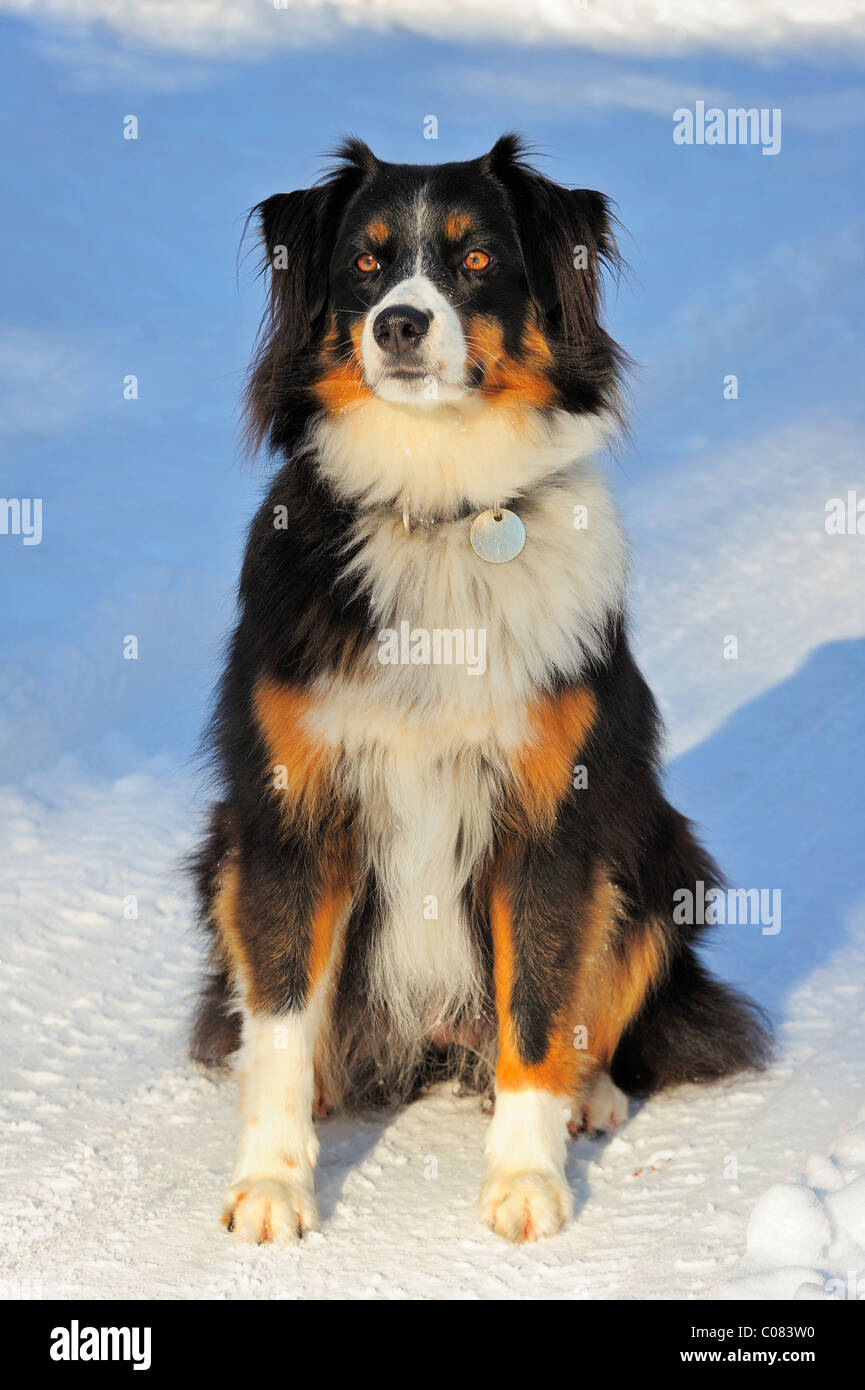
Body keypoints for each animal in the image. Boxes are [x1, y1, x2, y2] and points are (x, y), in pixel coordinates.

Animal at [191, 138, 773, 1251]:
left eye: (473, 260)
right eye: (365, 264)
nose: (399, 324)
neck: (438, 504)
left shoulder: (551, 816)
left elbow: (537, 1007)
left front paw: (524, 1180)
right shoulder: (289, 811)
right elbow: (280, 1018)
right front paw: (273, 1184)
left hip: (654, 854)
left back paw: (588, 1098)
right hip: (219, 850)